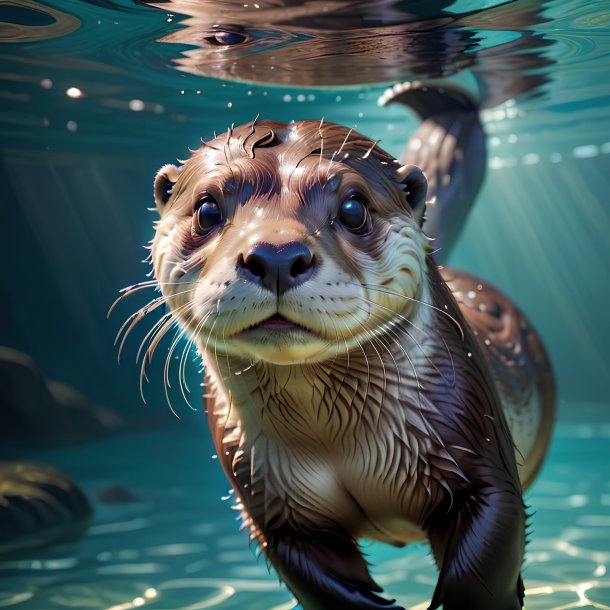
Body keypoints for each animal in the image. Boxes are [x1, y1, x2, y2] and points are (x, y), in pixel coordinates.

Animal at [150, 120, 552, 608]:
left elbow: (486, 565)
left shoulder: (479, 448)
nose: (277, 256)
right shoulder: (270, 503)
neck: (334, 443)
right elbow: (311, 573)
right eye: (207, 209)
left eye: (353, 208)